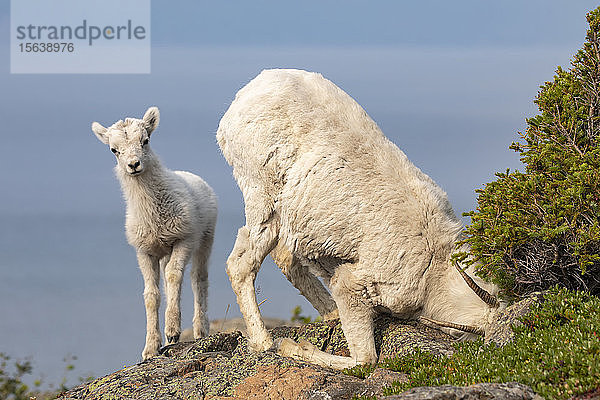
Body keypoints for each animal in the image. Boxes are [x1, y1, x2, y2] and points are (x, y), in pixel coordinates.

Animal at [92, 106, 218, 360]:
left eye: (145, 140)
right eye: (114, 150)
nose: (133, 165)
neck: (153, 213)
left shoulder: (184, 239)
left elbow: (174, 276)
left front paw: (172, 331)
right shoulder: (145, 251)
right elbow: (151, 295)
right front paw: (151, 348)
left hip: (205, 238)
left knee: (198, 279)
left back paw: (200, 330)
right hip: (164, 252)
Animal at [218, 69, 504, 372]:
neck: (434, 266)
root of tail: (245, 95)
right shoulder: (353, 285)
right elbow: (365, 361)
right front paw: (292, 347)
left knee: (285, 260)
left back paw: (331, 314)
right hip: (264, 200)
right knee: (242, 265)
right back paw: (264, 342)